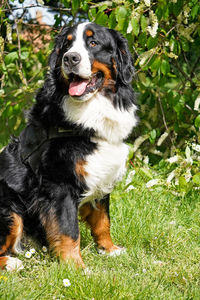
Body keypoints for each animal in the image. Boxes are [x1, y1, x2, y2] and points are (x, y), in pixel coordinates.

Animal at [0, 22, 138, 270]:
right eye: (67, 45)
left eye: (93, 43)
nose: (70, 58)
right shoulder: (59, 185)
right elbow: (68, 230)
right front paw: (76, 267)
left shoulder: (100, 172)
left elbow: (103, 221)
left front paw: (110, 250)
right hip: (9, 209)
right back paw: (11, 263)